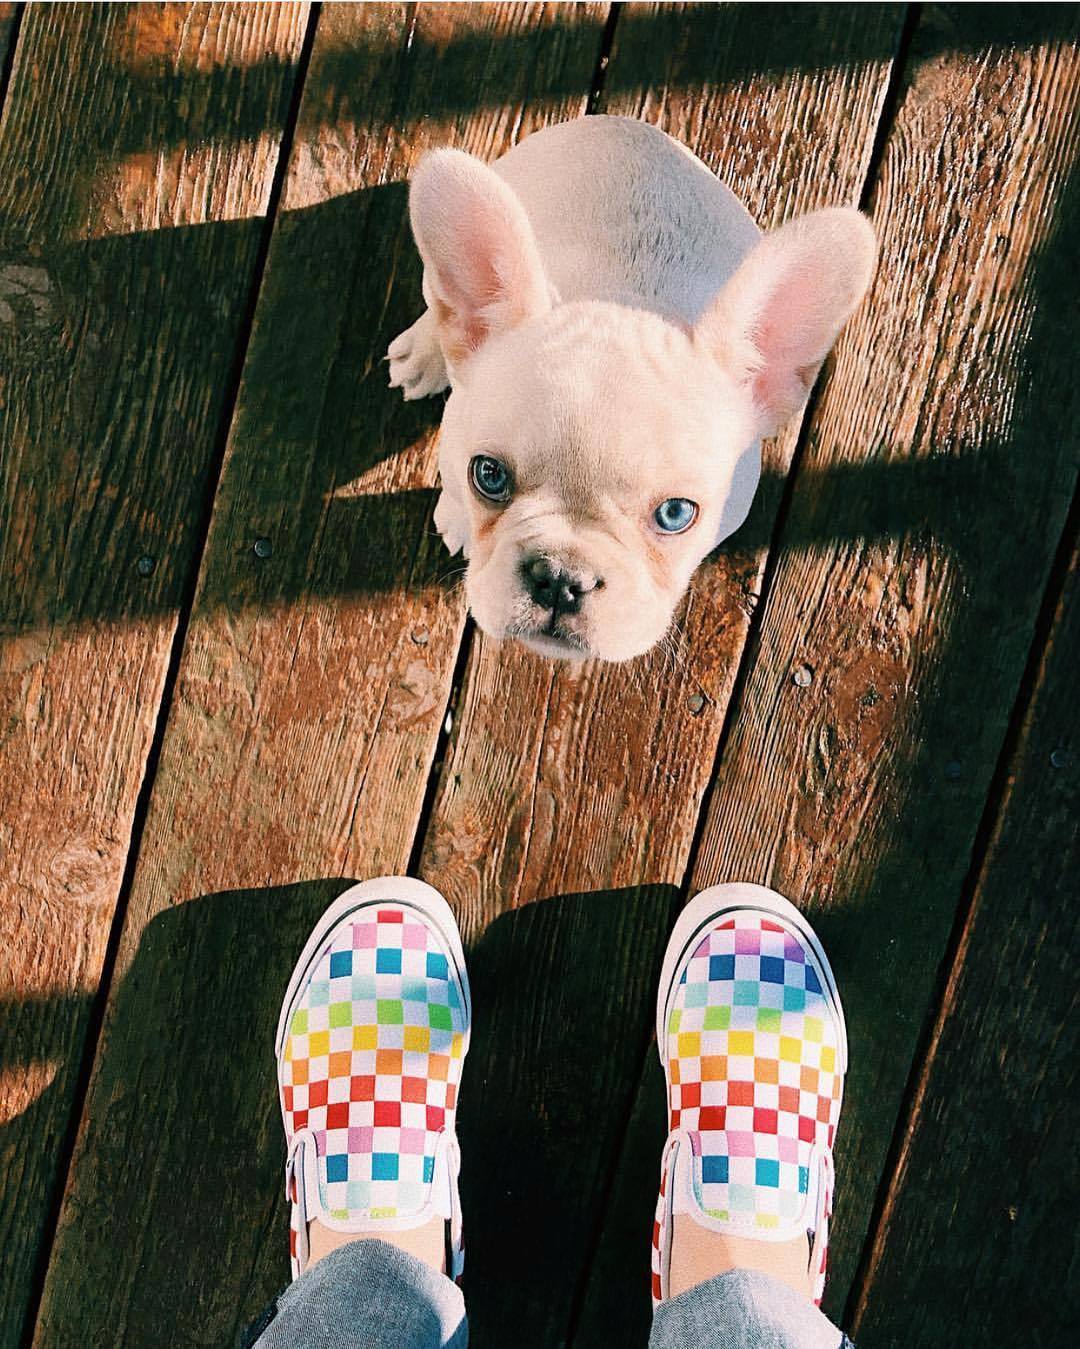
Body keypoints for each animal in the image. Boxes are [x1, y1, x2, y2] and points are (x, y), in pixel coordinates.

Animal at [388, 113, 873, 661]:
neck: (624, 293)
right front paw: (457, 518)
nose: (562, 577)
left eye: (676, 514)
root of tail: (618, 122)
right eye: (489, 476)